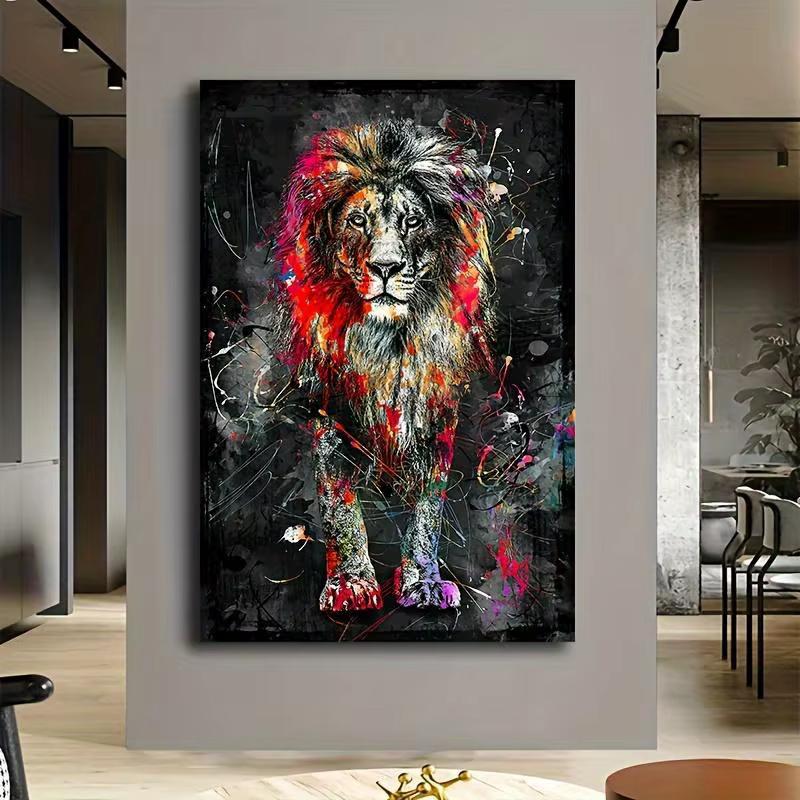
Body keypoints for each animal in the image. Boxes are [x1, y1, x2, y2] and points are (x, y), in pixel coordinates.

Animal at [272, 119, 496, 612]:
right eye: (358, 220)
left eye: (412, 221)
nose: (386, 267)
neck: (387, 344)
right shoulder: (332, 412)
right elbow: (339, 506)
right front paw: (351, 585)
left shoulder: (435, 417)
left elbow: (428, 511)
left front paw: (424, 582)